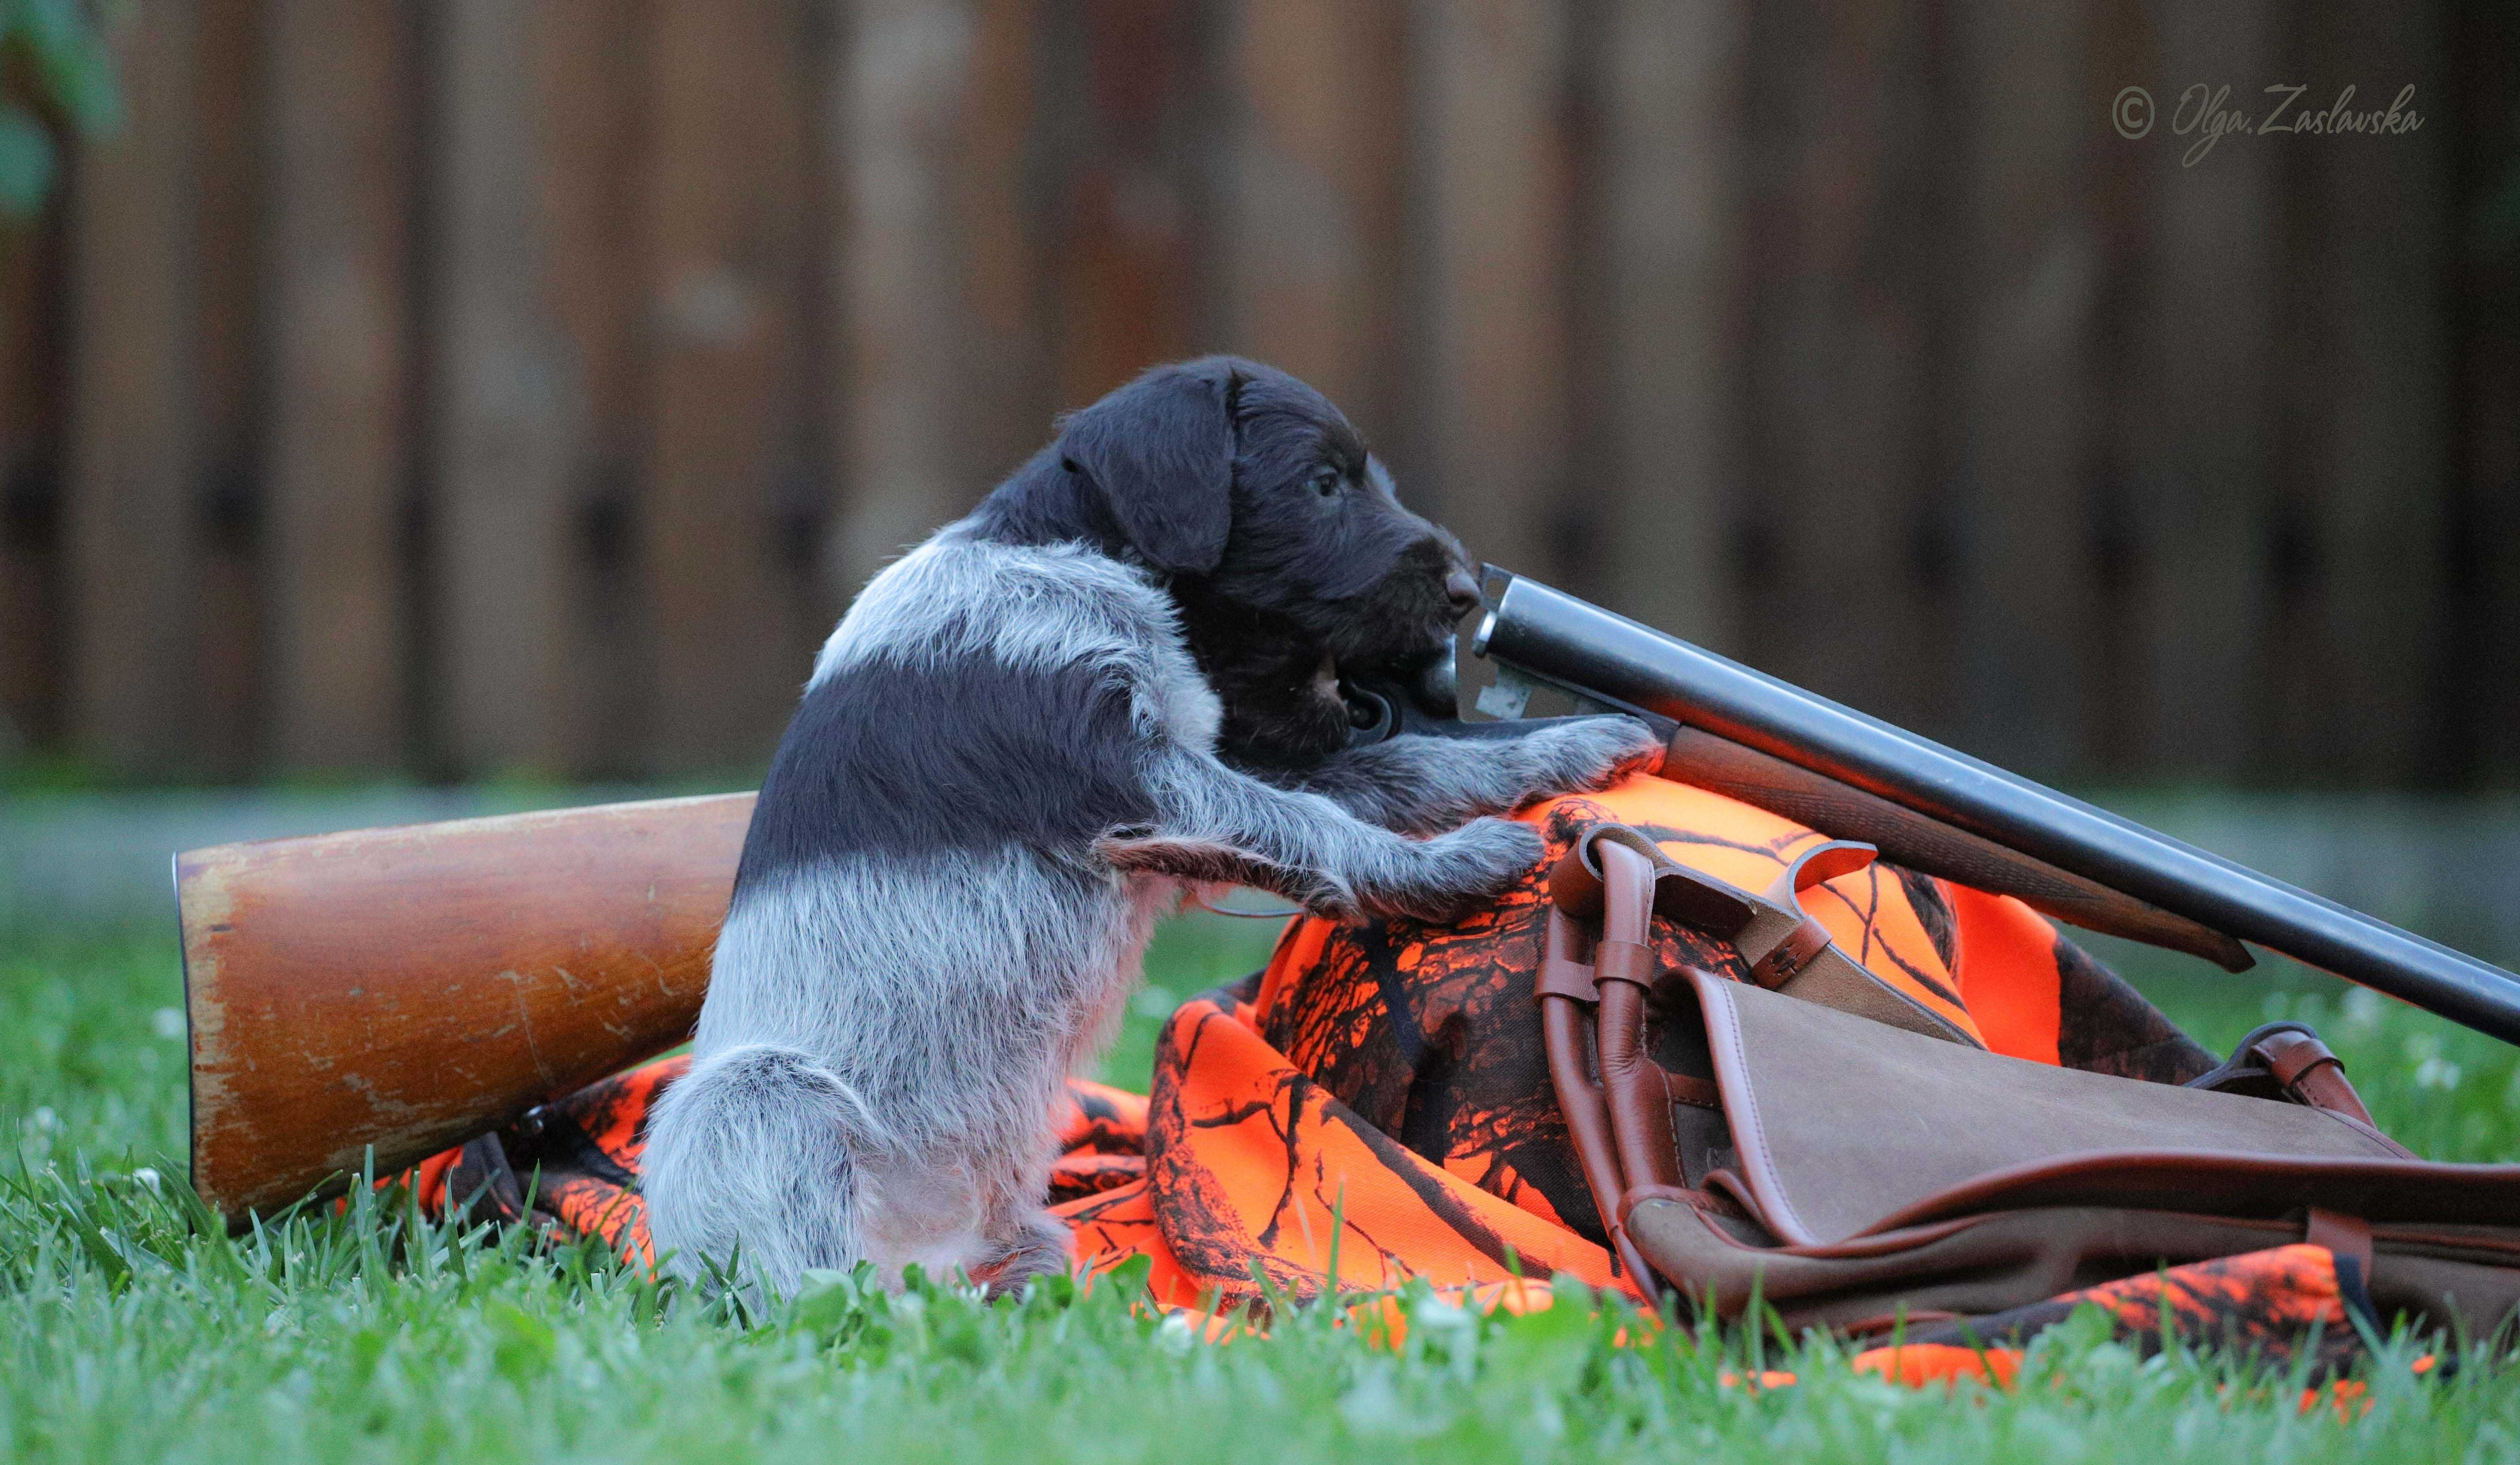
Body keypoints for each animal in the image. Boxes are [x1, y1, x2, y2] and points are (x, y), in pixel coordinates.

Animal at [645, 360, 1673, 1301]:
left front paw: (1571, 745)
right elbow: (1318, 825)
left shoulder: (1208, 784)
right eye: (1323, 485)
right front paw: (1453, 865)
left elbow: (1401, 774)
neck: (1073, 552)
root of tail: (934, 1258)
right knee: (807, 1291)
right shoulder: (1140, 780)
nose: (1467, 591)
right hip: (761, 1097)